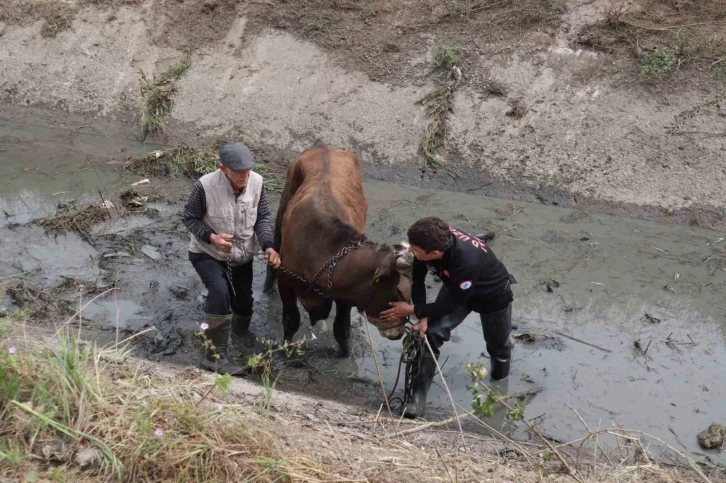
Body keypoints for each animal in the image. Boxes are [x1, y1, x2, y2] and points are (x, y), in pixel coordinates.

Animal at [266, 140, 416, 356]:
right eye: (399, 293)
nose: (398, 334)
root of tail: (322, 146)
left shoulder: (345, 294)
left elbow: (342, 327)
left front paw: (345, 353)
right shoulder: (286, 282)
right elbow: (291, 320)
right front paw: (286, 351)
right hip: (283, 204)